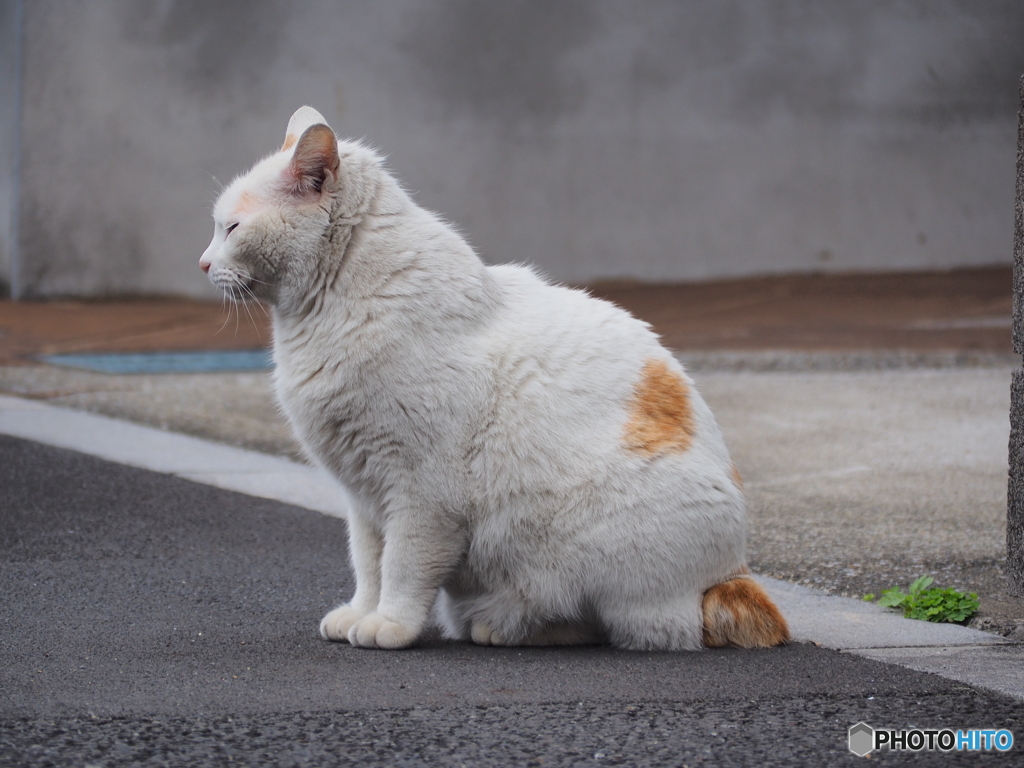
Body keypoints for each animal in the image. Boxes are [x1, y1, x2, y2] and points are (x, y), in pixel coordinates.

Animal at [201, 105, 790, 651]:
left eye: (232, 228)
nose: (203, 264)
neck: (329, 309)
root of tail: (733, 573)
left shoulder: (422, 495)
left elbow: (403, 566)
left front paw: (390, 624)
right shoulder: (363, 496)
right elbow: (368, 563)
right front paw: (360, 613)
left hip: (585, 545)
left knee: (624, 624)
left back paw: (515, 627)